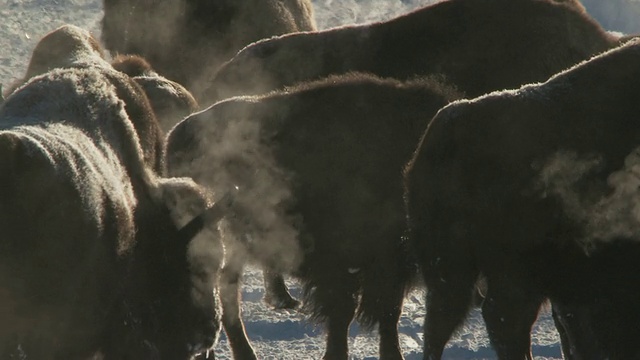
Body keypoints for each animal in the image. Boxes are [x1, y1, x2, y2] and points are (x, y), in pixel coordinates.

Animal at [168, 72, 462, 360]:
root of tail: (177, 133)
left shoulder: (392, 267)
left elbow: (388, 316)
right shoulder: (340, 266)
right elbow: (343, 314)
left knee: (227, 292)